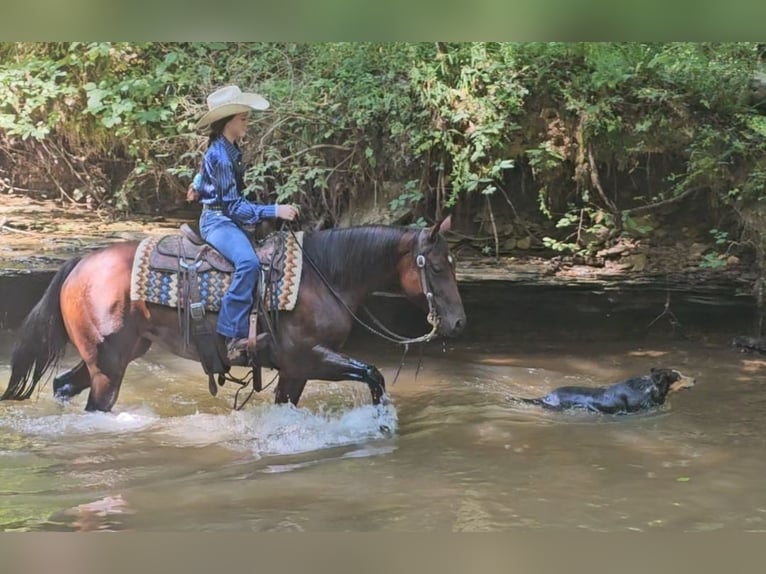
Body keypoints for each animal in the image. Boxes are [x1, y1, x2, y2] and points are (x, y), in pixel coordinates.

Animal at [1, 217, 465, 412]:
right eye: (436, 267)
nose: (459, 323)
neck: (323, 277)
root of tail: (79, 263)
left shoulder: (294, 372)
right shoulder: (308, 358)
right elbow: (373, 374)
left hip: (116, 355)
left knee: (63, 385)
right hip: (108, 366)